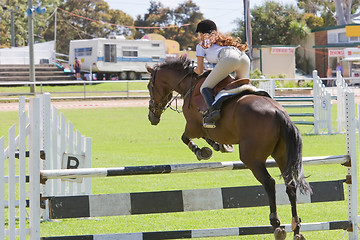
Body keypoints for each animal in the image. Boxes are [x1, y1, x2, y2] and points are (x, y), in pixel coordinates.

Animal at [146, 56, 312, 240]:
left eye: (149, 86)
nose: (152, 117)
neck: (189, 84)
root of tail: (278, 112)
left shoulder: (193, 127)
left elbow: (186, 138)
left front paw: (202, 151)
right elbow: (207, 138)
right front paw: (219, 146)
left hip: (251, 158)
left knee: (269, 182)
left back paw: (276, 224)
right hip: (282, 156)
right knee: (290, 185)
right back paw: (296, 228)